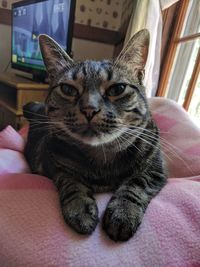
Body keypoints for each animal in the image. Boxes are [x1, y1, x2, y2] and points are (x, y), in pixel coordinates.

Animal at [23, 29, 167, 243]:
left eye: (117, 89)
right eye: (68, 89)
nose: (89, 109)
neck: (102, 154)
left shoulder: (156, 170)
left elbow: (136, 183)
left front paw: (123, 213)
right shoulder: (54, 164)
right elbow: (71, 182)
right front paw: (80, 208)